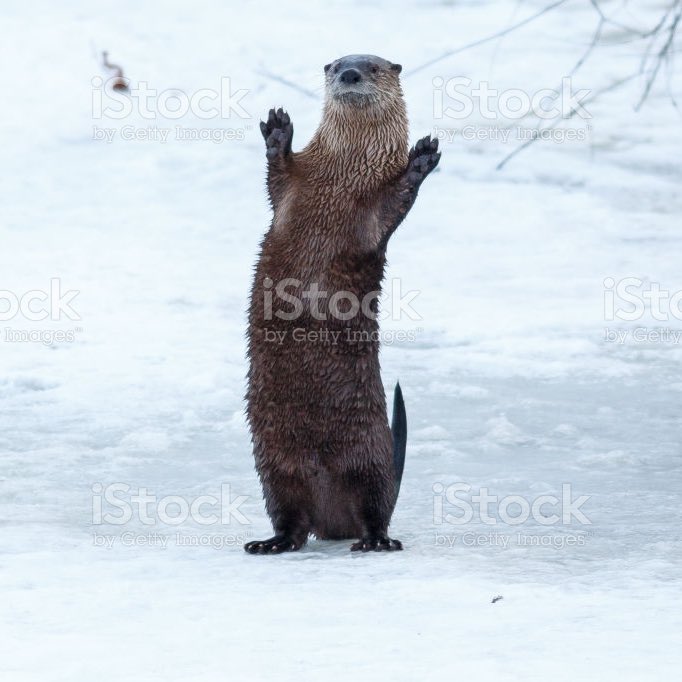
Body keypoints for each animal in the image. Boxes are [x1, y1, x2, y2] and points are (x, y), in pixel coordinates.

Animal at [245, 55, 440, 554]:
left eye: (372, 66)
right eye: (336, 65)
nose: (349, 74)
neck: (340, 176)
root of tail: (331, 518)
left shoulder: (373, 212)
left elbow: (395, 204)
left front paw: (421, 159)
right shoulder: (295, 188)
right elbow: (276, 178)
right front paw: (278, 131)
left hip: (369, 454)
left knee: (375, 507)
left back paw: (376, 541)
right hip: (273, 463)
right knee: (289, 517)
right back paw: (269, 543)